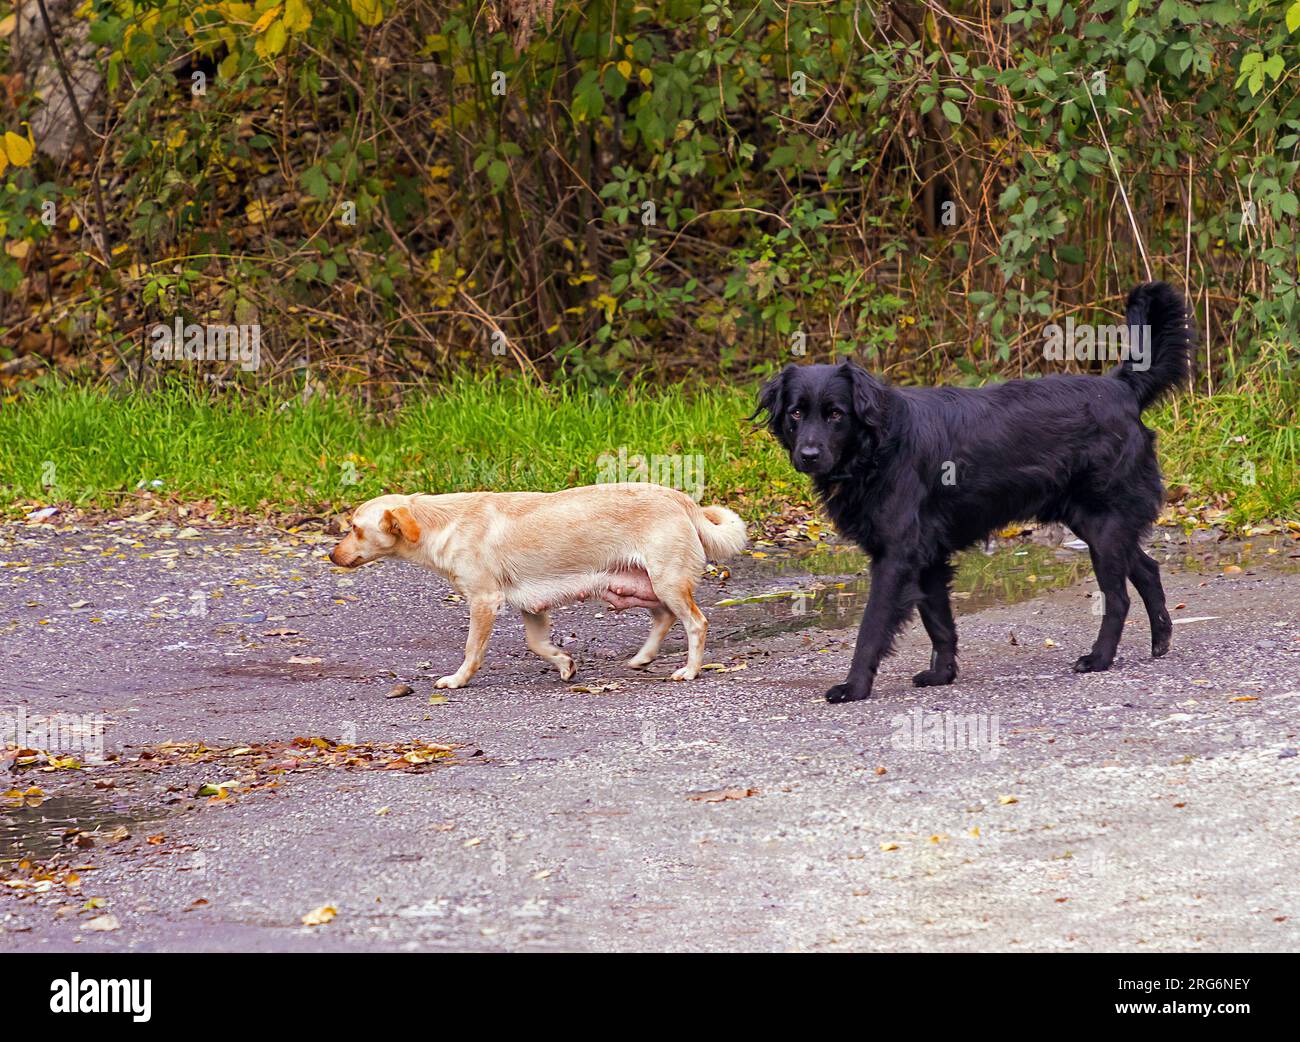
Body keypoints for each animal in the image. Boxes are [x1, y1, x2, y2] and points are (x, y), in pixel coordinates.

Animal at [330, 483, 748, 686]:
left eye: (354, 529)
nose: (331, 555)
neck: (441, 522)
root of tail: (682, 499)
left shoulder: (484, 600)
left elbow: (471, 650)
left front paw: (458, 680)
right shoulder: (531, 606)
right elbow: (537, 645)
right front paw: (565, 664)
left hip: (666, 583)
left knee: (696, 623)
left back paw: (690, 670)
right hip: (638, 588)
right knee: (663, 618)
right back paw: (643, 658)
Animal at [759, 281, 1190, 696]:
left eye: (836, 414)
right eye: (796, 413)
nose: (808, 455)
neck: (877, 448)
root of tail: (1120, 388)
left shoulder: (897, 556)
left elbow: (872, 628)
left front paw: (854, 686)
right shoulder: (929, 557)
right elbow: (939, 623)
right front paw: (942, 674)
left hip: (1103, 525)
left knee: (1117, 598)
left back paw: (1099, 658)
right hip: (1096, 522)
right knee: (1147, 568)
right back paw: (1160, 639)